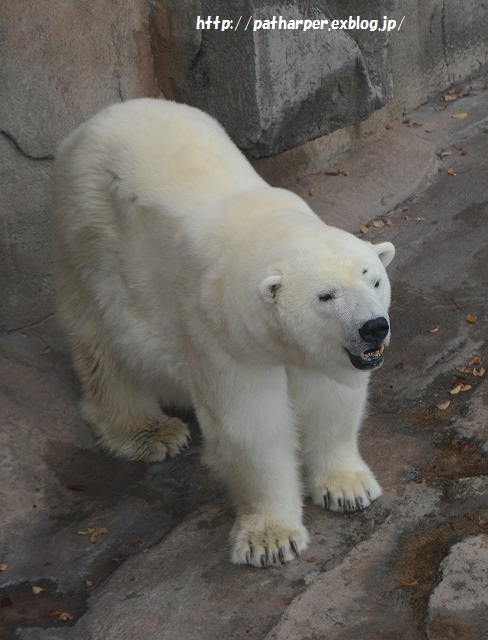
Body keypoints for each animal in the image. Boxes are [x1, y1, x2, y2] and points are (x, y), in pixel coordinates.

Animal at [53, 97, 394, 568]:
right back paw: (148, 431)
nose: (373, 327)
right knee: (103, 341)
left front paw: (348, 488)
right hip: (90, 236)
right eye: (326, 296)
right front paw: (271, 539)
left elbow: (329, 399)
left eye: (374, 280)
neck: (261, 225)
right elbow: (249, 425)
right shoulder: (220, 333)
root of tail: (95, 122)